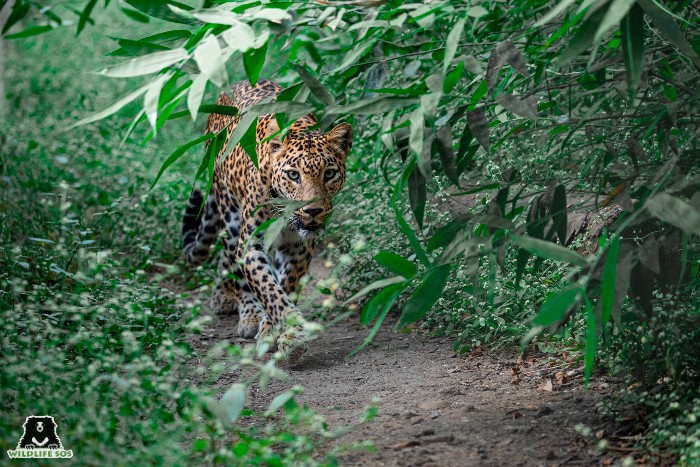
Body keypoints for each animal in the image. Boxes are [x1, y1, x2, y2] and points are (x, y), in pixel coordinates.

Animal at [183, 78, 352, 360]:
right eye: (294, 175)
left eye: (329, 174)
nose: (313, 211)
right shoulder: (251, 243)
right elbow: (267, 288)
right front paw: (289, 333)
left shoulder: (298, 246)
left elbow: (286, 285)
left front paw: (278, 331)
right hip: (230, 214)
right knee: (235, 262)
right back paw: (245, 311)